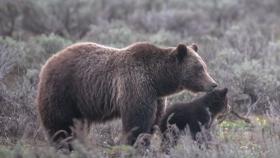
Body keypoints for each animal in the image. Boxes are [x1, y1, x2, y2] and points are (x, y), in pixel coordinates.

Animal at [36, 41, 218, 147]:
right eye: (199, 68)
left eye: (204, 66)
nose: (213, 84)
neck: (158, 79)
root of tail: (49, 61)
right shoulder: (136, 85)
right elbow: (136, 121)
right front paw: (132, 143)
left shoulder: (156, 97)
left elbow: (152, 122)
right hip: (64, 90)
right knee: (61, 124)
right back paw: (63, 145)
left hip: (80, 103)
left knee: (78, 125)